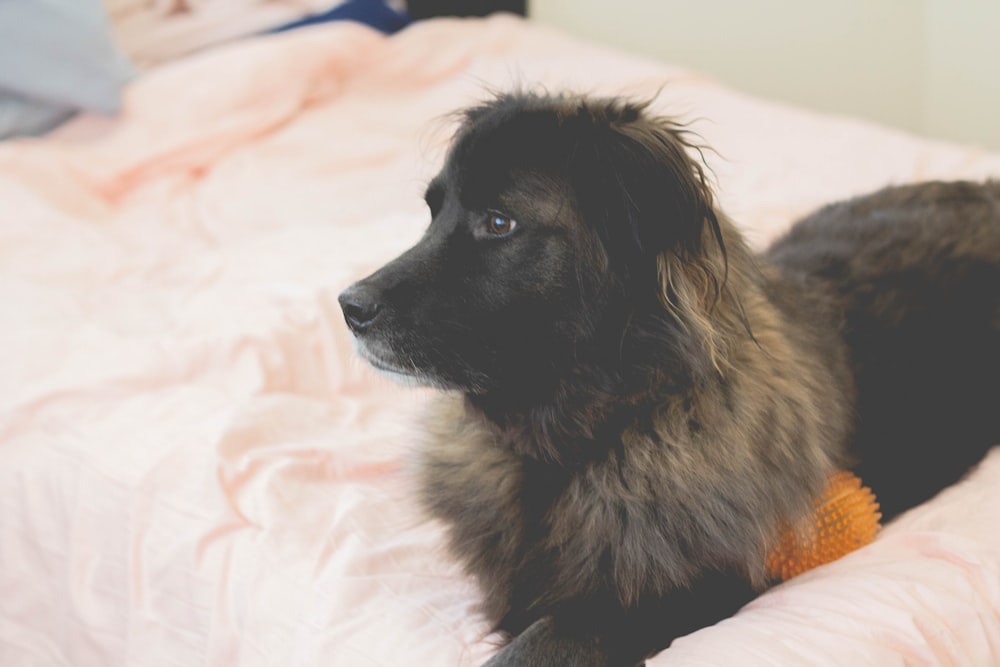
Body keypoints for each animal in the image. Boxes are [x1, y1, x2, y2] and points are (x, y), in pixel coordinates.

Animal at [338, 95, 1000, 667]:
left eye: (499, 223)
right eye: (433, 212)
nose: (349, 307)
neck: (571, 447)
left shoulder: (676, 592)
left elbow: (544, 639)